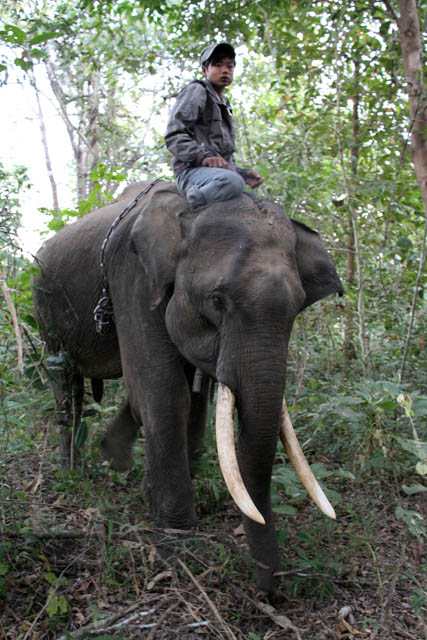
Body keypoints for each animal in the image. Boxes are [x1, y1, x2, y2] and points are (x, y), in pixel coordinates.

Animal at [32, 180, 343, 593]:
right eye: (216, 299)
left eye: (297, 307)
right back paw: (71, 470)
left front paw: (150, 485)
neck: (187, 212)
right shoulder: (132, 278)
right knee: (67, 386)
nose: (270, 592)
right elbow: (163, 393)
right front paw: (178, 548)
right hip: (44, 311)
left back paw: (113, 461)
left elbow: (196, 394)